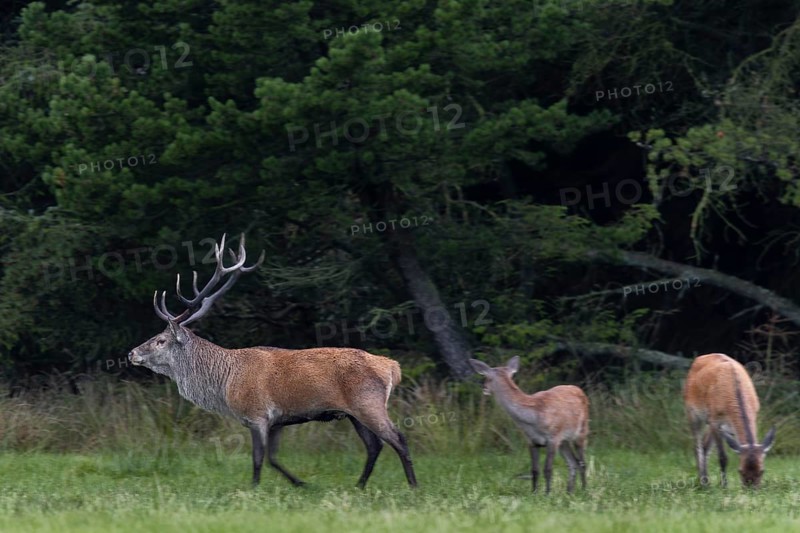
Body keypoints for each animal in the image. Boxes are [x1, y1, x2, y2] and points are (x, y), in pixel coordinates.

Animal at [127, 234, 417, 489]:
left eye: (160, 340)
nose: (131, 353)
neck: (224, 383)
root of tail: (392, 367)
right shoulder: (278, 420)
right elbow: (273, 458)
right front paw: (302, 483)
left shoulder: (256, 414)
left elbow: (258, 459)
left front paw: (253, 490)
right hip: (353, 412)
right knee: (374, 445)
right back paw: (359, 485)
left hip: (368, 402)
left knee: (398, 438)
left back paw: (413, 486)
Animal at [469, 356, 589, 494]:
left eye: (486, 376)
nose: (484, 388)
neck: (533, 417)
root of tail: (579, 389)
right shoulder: (531, 441)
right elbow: (535, 470)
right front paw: (534, 492)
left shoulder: (553, 437)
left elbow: (548, 469)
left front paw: (547, 493)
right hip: (564, 441)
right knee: (573, 462)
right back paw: (569, 491)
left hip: (581, 431)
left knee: (582, 463)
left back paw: (584, 489)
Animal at [683, 353, 776, 488]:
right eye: (740, 471)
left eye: (762, 471)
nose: (751, 489)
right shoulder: (715, 420)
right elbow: (723, 457)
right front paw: (724, 486)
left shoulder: (753, 415)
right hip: (692, 412)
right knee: (697, 447)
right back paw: (703, 482)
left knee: (705, 445)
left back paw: (705, 481)